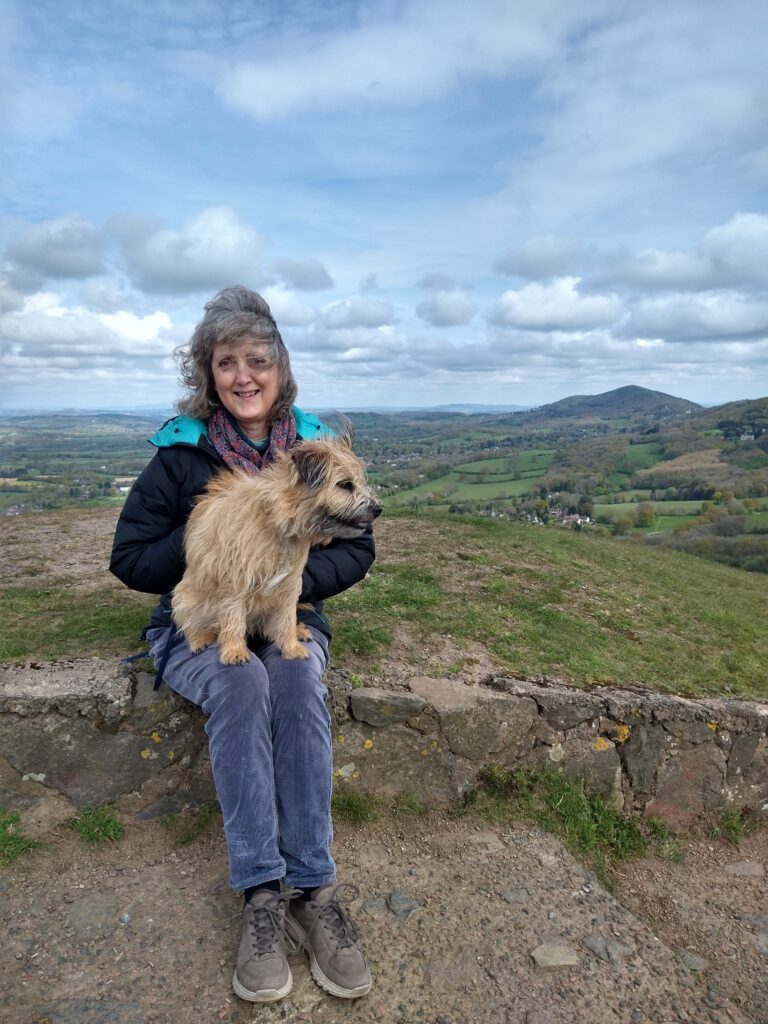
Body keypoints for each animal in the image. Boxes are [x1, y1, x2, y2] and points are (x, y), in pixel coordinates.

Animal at [173, 432, 380, 663]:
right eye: (345, 484)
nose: (378, 509)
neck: (277, 522)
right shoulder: (235, 582)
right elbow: (233, 616)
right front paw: (235, 650)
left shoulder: (290, 583)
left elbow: (287, 618)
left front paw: (291, 646)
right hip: (184, 597)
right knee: (191, 623)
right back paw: (200, 638)